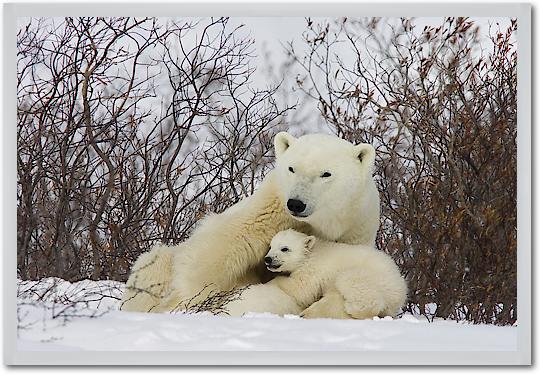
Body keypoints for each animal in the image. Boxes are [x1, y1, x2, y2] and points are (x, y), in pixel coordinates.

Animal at [119, 131, 380, 312]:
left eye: (326, 173)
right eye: (291, 168)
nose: (296, 203)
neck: (322, 222)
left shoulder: (355, 226)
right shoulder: (270, 208)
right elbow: (218, 249)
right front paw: (185, 302)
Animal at [226, 229, 408, 320]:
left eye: (284, 248)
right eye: (271, 246)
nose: (268, 259)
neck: (312, 252)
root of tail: (401, 288)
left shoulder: (313, 270)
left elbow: (300, 288)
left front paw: (273, 282)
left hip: (373, 278)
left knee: (353, 283)